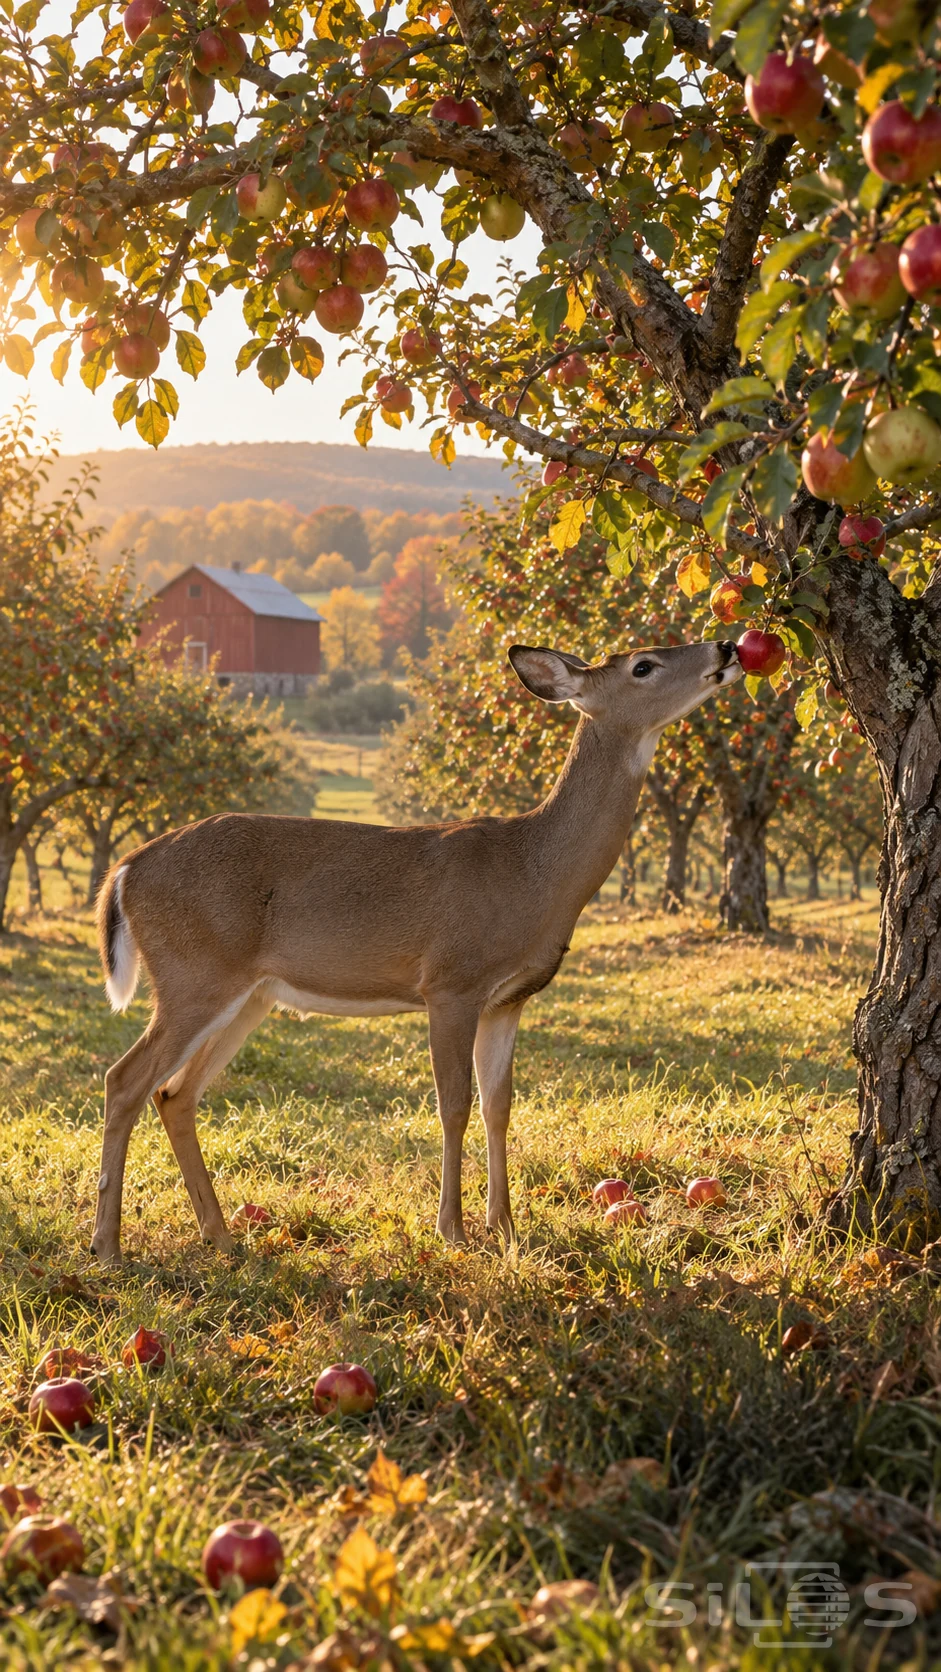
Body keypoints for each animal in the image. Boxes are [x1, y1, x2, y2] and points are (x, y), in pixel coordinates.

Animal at [91, 638, 742, 1263]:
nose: (728, 648)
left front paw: (505, 1227)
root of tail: (124, 872)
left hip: (249, 994)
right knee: (125, 1080)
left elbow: (499, 1104)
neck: (534, 871)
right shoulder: (451, 981)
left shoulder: (508, 1000)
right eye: (643, 665)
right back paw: (108, 1246)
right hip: (194, 973)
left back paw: (221, 1237)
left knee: (175, 1094)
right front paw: (452, 1229)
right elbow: (453, 1103)